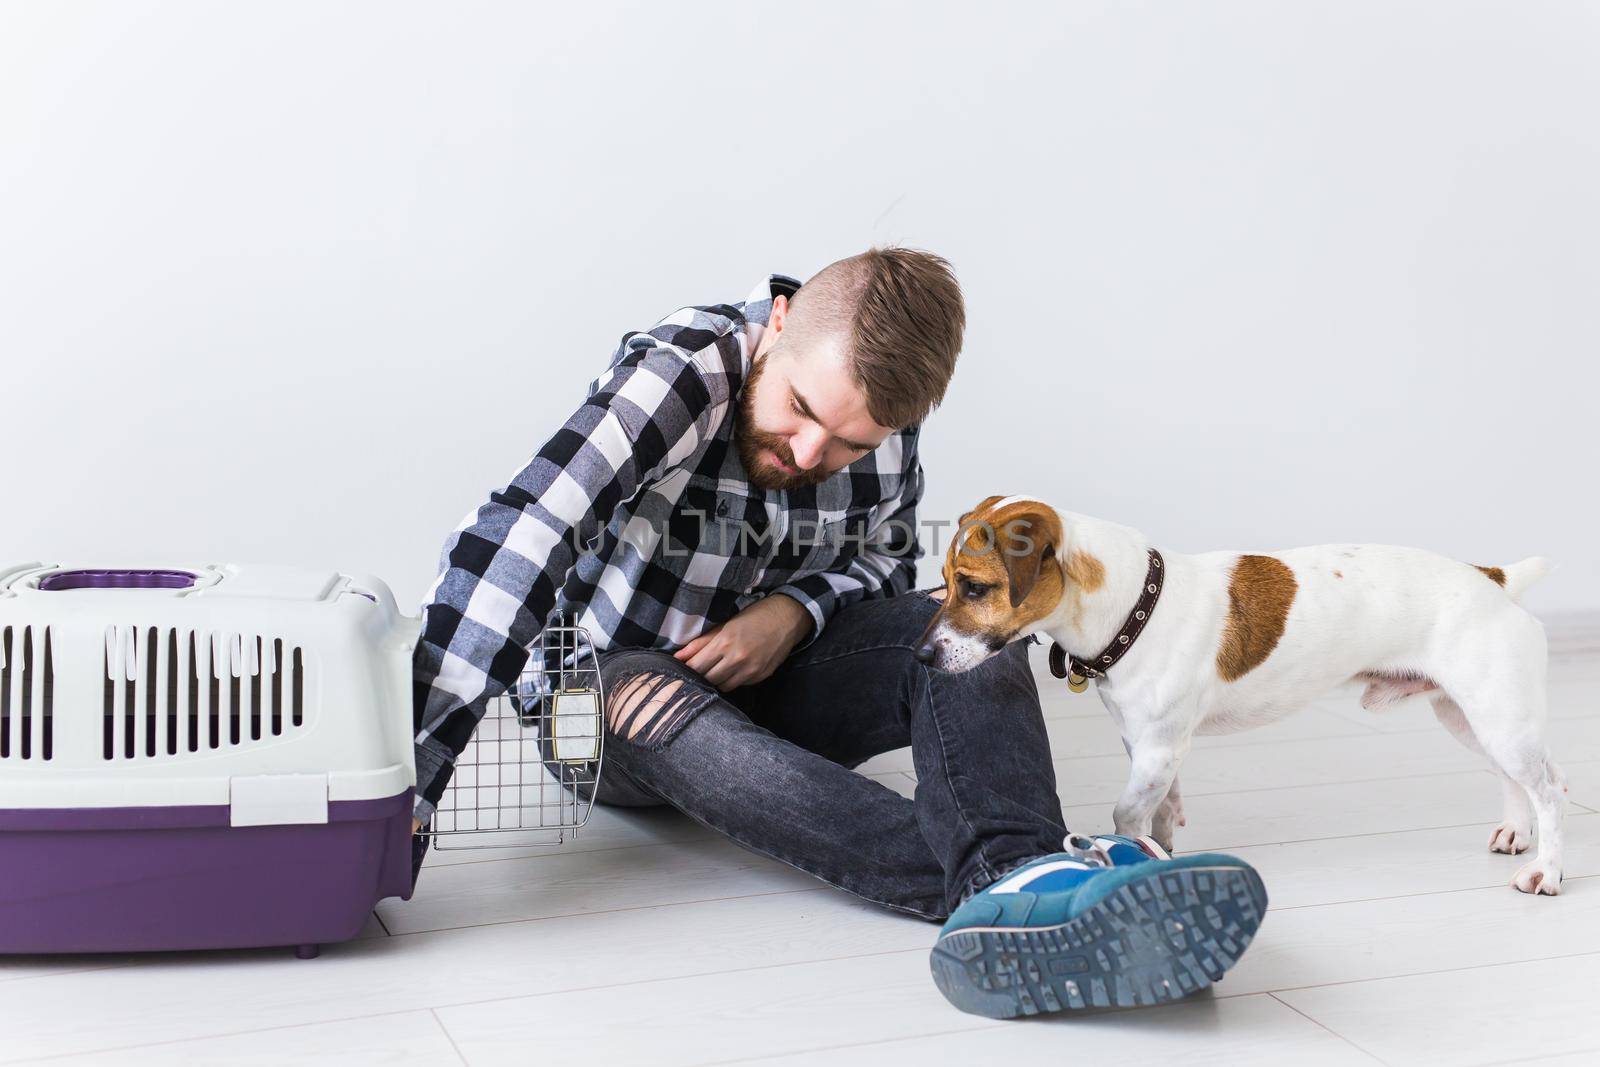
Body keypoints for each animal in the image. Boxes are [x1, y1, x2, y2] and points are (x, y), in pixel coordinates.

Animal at [915, 499, 1561, 895]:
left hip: (1499, 718)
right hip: (1469, 718)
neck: (1135, 606)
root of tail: (1491, 577)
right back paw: (1516, 834)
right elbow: (1160, 806)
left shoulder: (1156, 747)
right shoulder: (1148, 746)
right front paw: (1164, 848)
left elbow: (1126, 816)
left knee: (1551, 790)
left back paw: (1548, 871)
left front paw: (1134, 855)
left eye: (974, 588)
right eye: (943, 584)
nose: (919, 656)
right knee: (1513, 779)